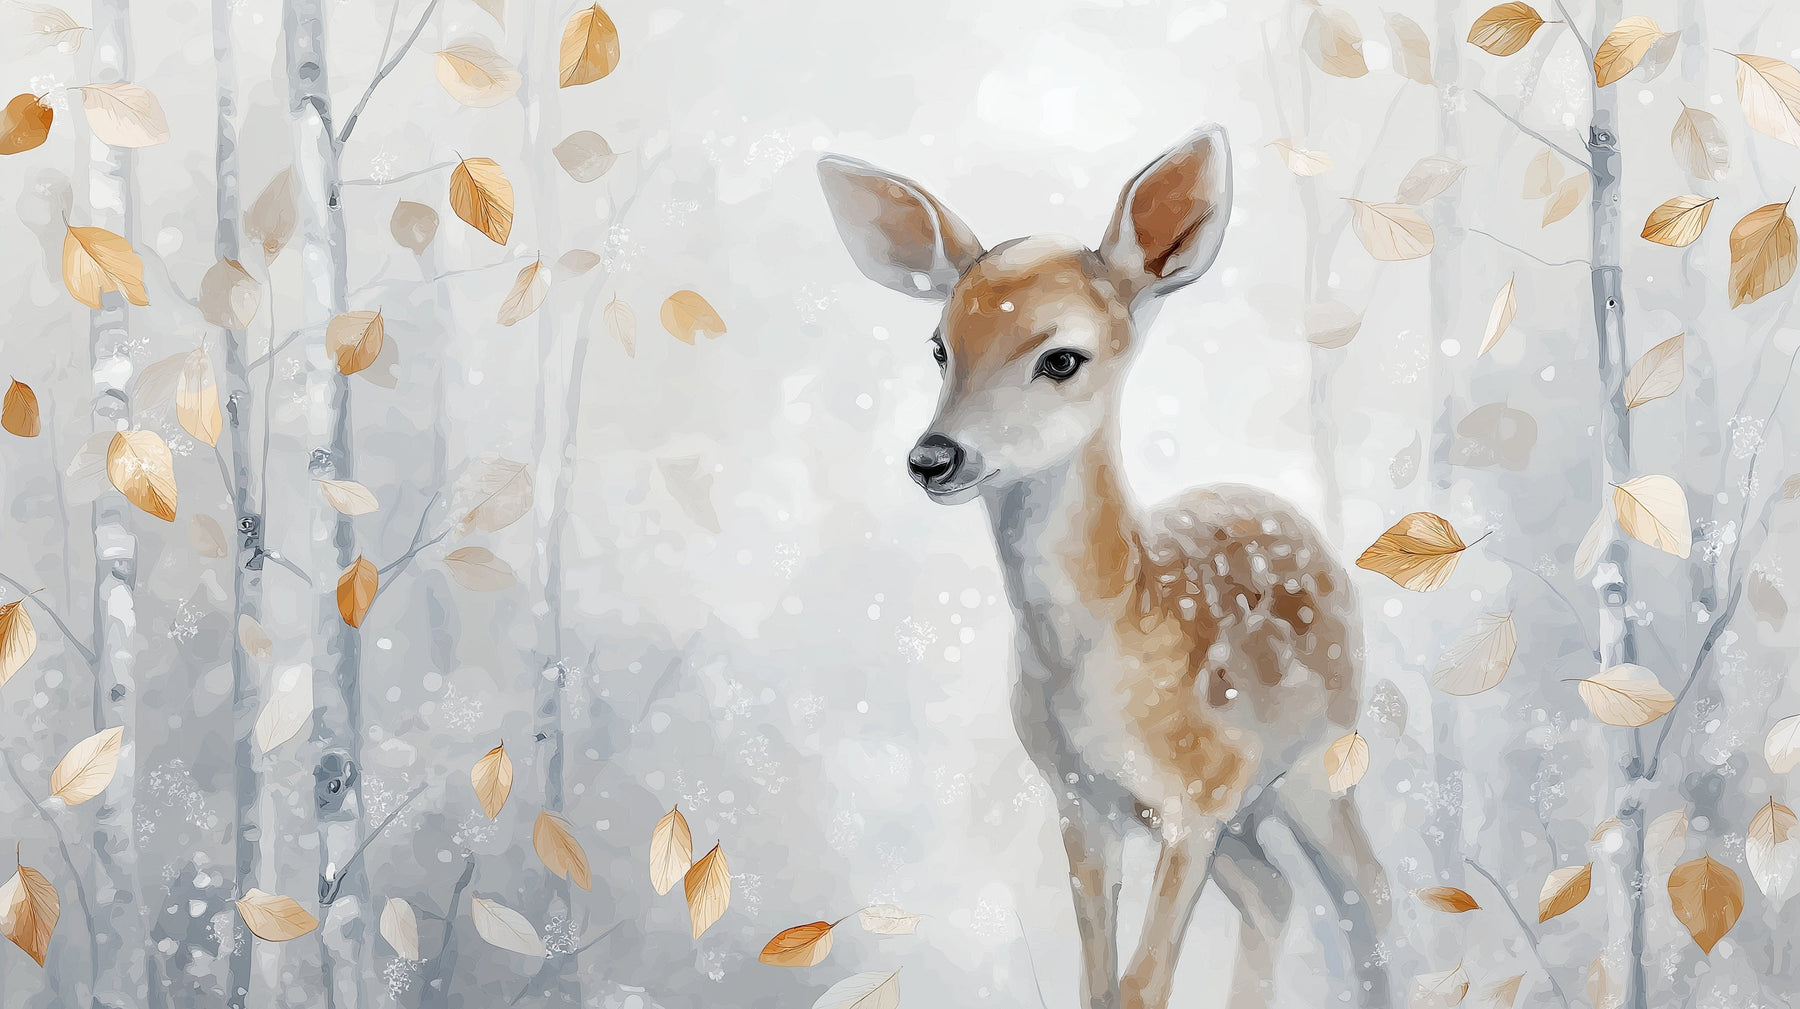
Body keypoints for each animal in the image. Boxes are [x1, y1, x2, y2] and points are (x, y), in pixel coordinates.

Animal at [818, 124, 1392, 1009]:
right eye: (940, 347)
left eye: (1061, 358)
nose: (934, 457)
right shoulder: (1081, 800)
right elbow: (1100, 982)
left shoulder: (1196, 802)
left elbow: (1143, 983)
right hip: (1244, 808)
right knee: (1276, 892)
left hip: (1318, 755)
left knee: (1370, 891)